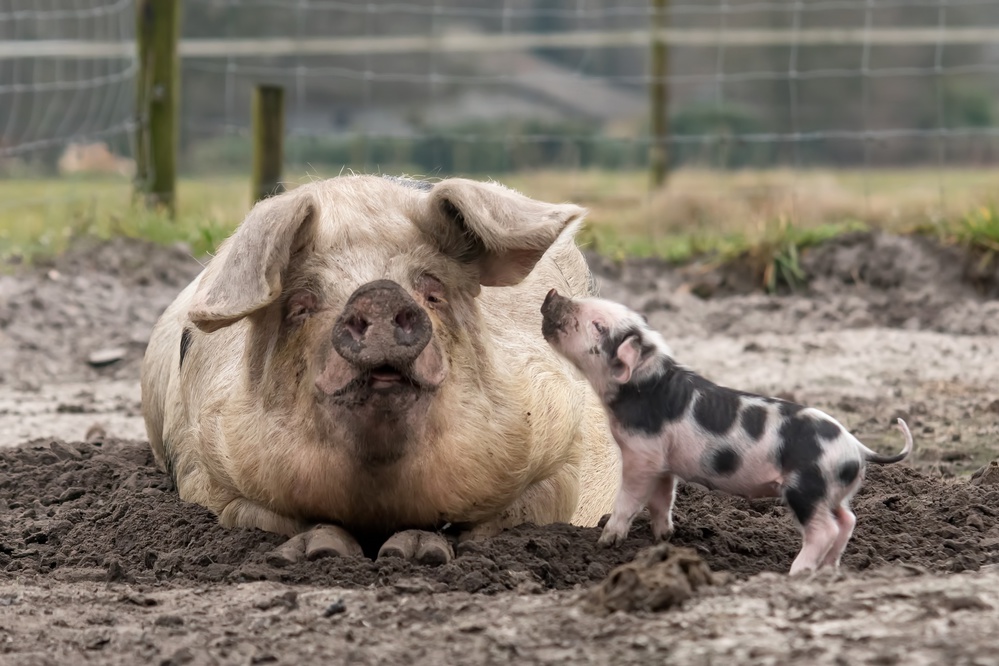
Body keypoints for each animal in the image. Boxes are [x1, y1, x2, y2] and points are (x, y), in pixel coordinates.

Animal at [137, 174, 620, 564]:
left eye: (433, 292)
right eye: (300, 305)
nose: (380, 293)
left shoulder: (560, 442)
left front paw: (417, 554)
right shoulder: (205, 465)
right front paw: (320, 552)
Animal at [540, 290, 916, 576]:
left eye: (598, 325)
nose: (553, 293)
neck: (644, 387)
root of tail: (857, 448)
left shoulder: (641, 454)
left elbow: (630, 498)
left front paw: (606, 541)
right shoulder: (663, 461)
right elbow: (662, 500)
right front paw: (664, 538)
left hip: (807, 488)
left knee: (825, 529)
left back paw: (795, 573)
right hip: (832, 492)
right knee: (848, 520)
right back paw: (829, 570)